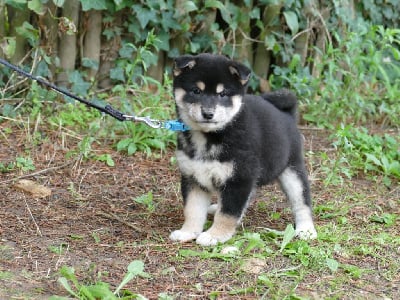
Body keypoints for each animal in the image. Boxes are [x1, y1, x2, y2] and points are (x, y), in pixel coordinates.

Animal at [170, 54, 318, 246]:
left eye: (222, 94)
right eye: (196, 91)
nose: (208, 114)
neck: (210, 137)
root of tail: (287, 115)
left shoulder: (239, 178)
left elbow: (227, 213)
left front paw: (215, 235)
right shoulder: (193, 177)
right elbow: (192, 209)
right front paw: (188, 232)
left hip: (292, 170)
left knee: (302, 202)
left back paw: (306, 229)